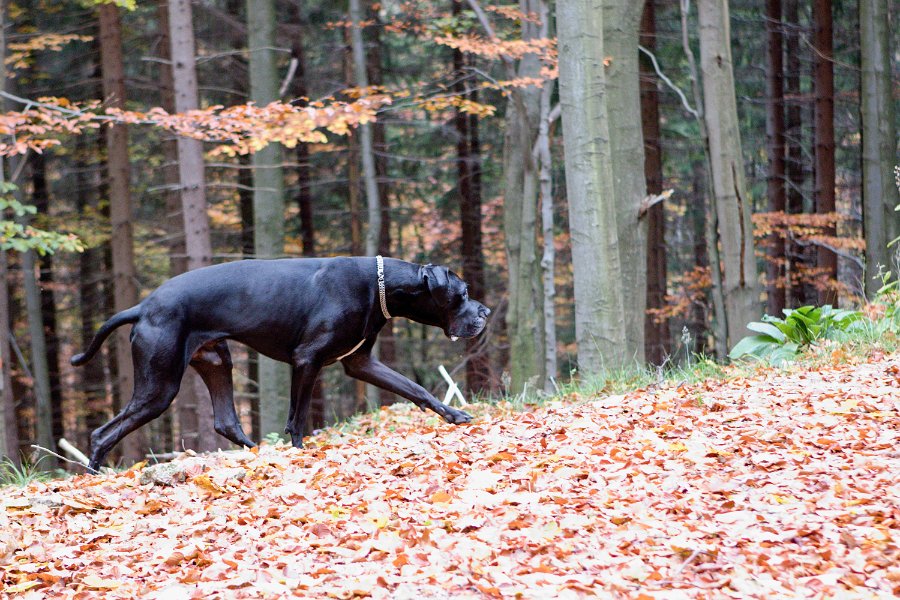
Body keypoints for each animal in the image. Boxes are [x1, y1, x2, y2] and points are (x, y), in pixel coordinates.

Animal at [72, 258, 492, 474]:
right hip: (159, 385)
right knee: (103, 433)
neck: (379, 285)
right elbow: (297, 418)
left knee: (226, 421)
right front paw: (300, 452)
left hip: (216, 361)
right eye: (464, 293)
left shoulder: (360, 362)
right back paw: (94, 475)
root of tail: (143, 306)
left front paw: (453, 414)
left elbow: (415, 388)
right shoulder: (307, 360)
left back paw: (259, 452)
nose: (486, 312)